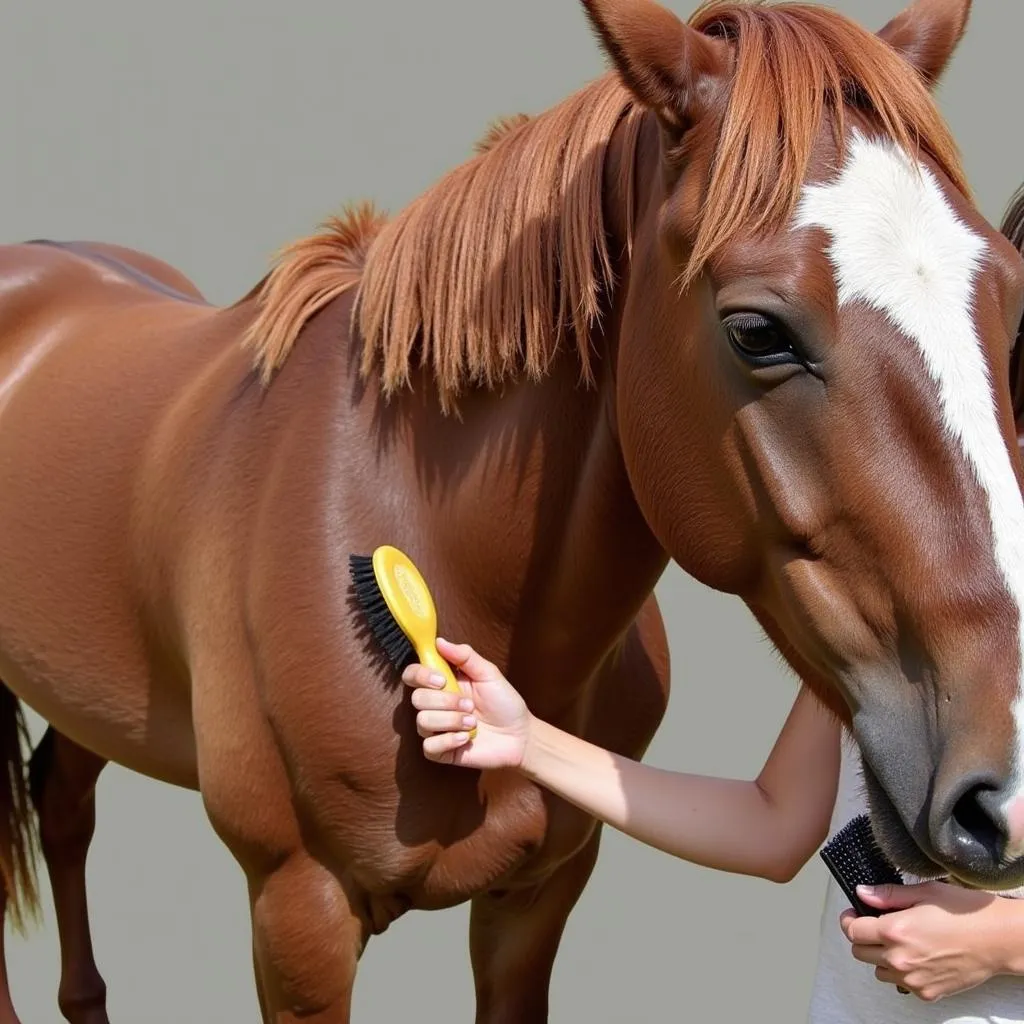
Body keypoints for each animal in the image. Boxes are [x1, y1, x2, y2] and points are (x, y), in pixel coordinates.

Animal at [2, 0, 1024, 1019]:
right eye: (756, 332)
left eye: (1007, 292)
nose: (1007, 792)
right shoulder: (299, 915)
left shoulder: (537, 895)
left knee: (62, 799)